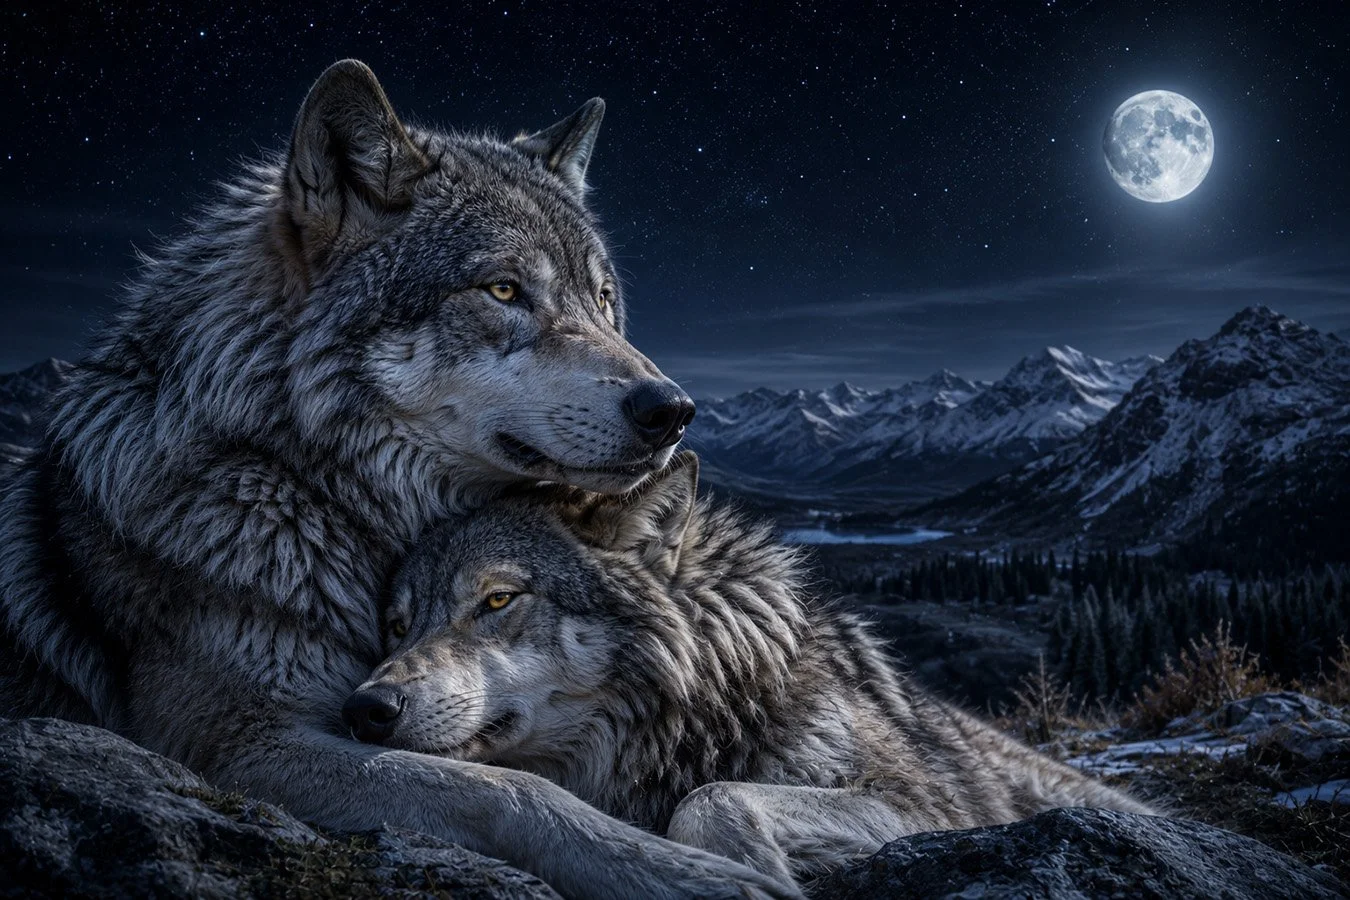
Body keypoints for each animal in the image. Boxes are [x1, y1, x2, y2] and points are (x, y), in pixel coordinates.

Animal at [0, 60, 794, 899]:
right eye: (503, 290)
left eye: (605, 300)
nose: (672, 410)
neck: (297, 489)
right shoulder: (236, 743)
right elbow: (510, 788)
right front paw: (689, 872)